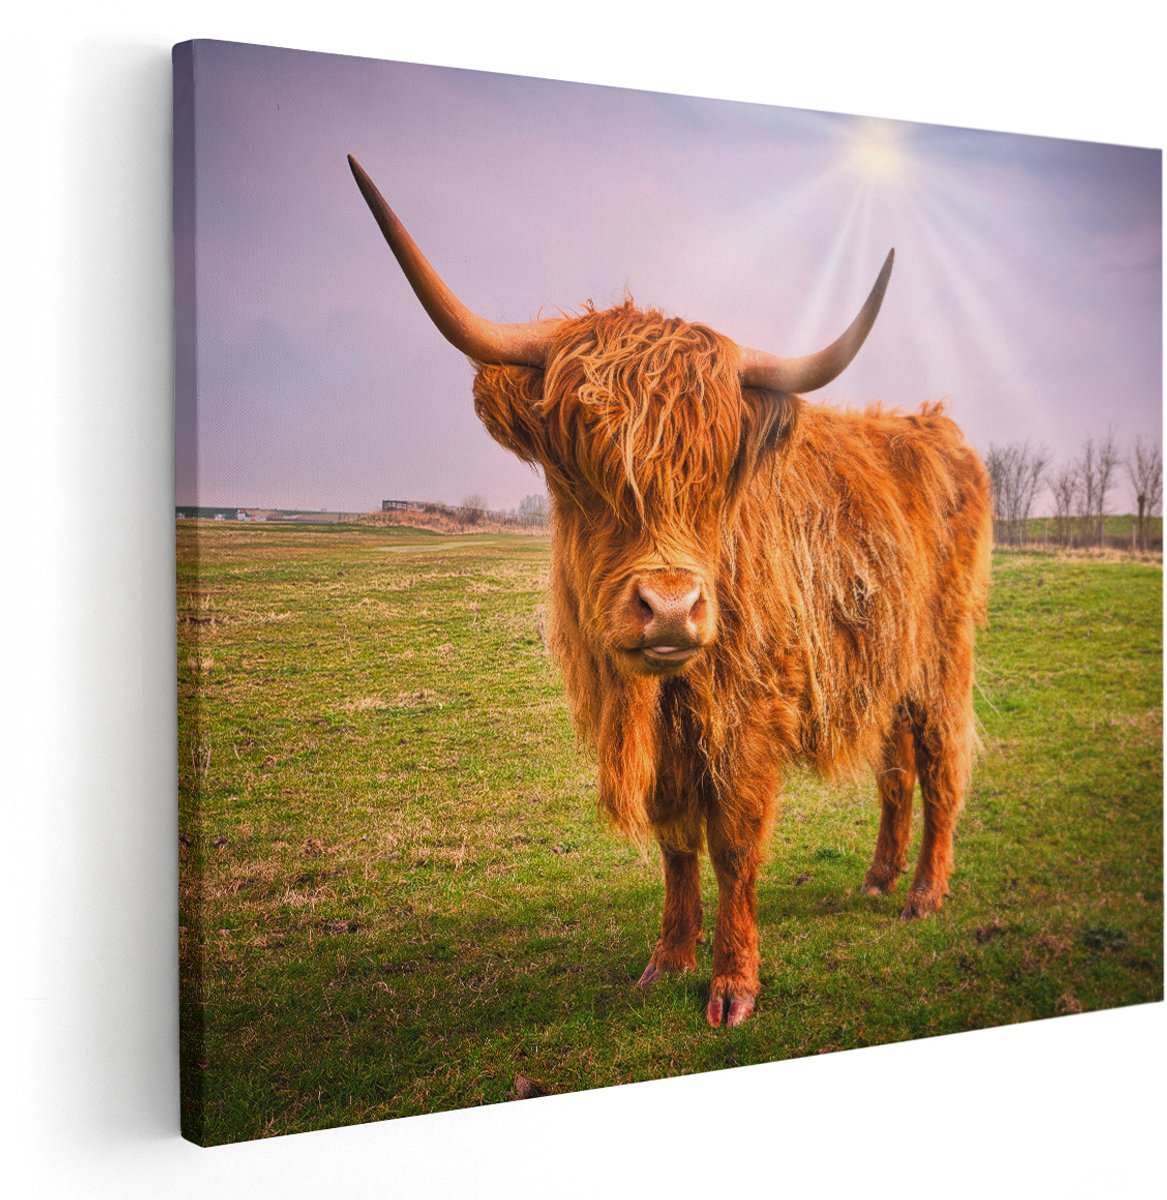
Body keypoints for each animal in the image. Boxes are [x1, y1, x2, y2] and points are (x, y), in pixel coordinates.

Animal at [349, 155, 992, 1029]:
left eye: (716, 473)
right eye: (577, 466)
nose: (671, 608)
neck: (662, 696)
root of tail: (930, 426)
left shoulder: (750, 712)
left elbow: (734, 843)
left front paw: (732, 984)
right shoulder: (667, 742)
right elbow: (677, 842)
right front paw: (668, 961)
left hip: (940, 654)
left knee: (939, 760)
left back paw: (924, 893)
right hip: (884, 656)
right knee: (894, 767)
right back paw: (877, 878)